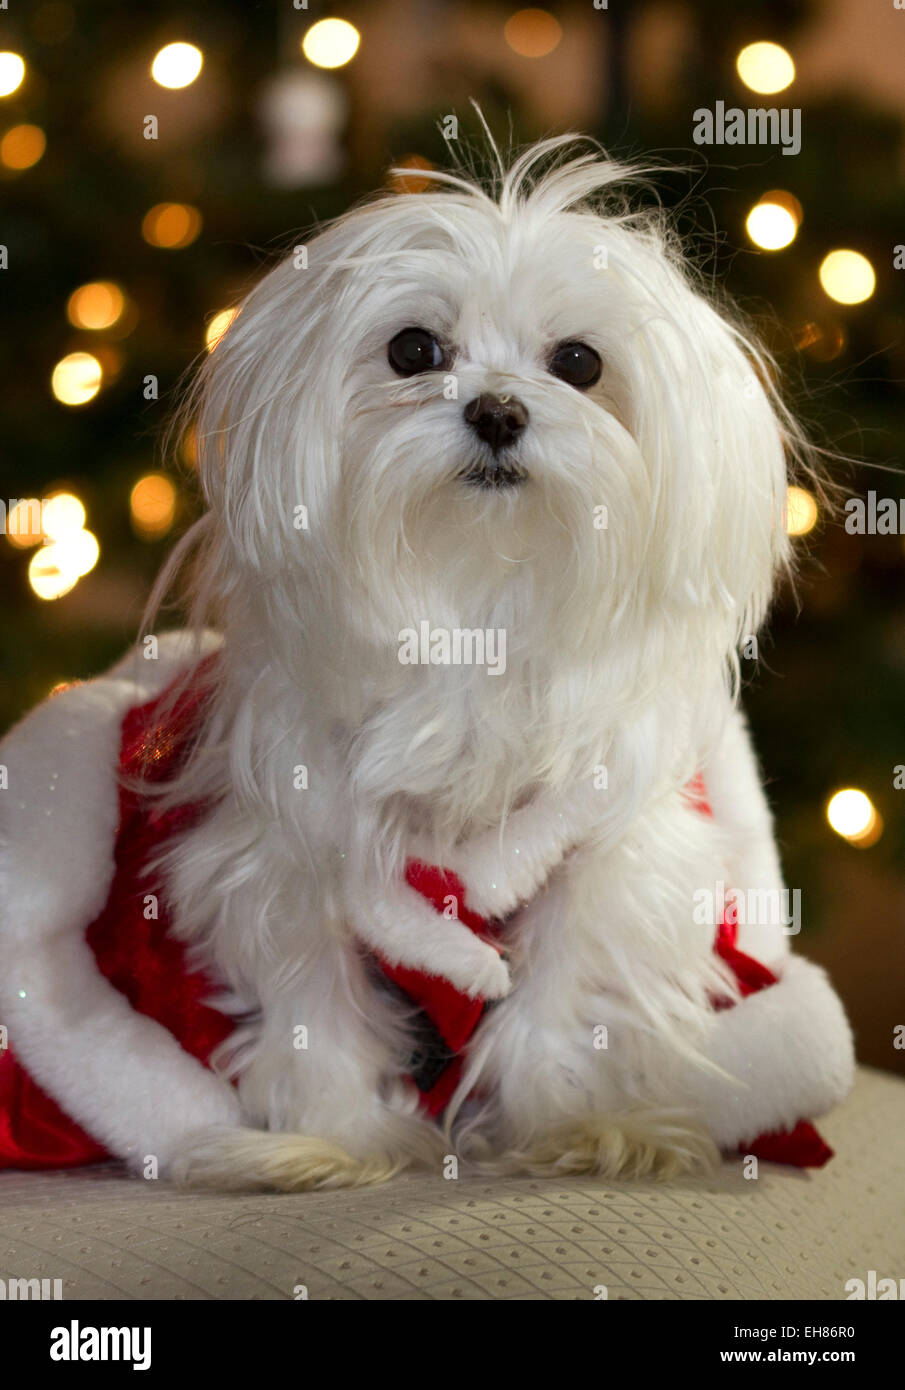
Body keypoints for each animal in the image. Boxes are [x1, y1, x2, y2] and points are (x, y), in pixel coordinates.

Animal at [0, 135, 856, 1189]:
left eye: (579, 363)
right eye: (413, 350)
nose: (496, 412)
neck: (474, 605)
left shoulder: (596, 855)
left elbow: (563, 993)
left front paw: (567, 1124)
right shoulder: (293, 852)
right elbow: (311, 1003)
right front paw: (334, 1138)